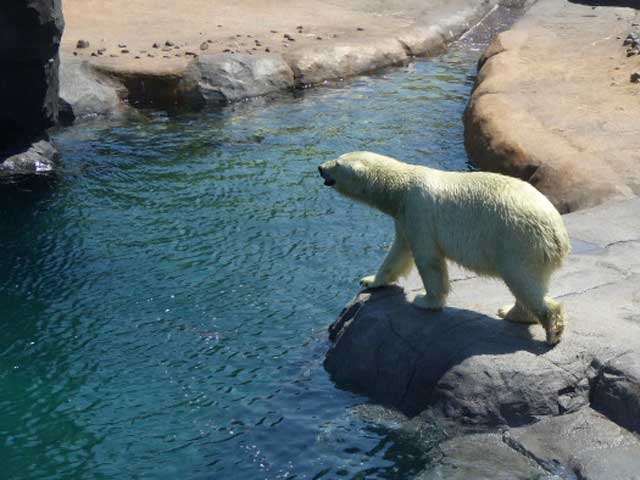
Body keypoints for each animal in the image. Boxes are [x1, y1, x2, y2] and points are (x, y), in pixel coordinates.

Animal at [318, 152, 572, 344]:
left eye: (337, 163)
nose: (320, 167)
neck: (400, 188)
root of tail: (559, 234)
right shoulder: (404, 216)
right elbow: (398, 252)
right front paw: (370, 280)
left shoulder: (419, 210)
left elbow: (427, 259)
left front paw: (424, 300)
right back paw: (511, 312)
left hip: (518, 240)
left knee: (522, 280)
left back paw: (551, 330)